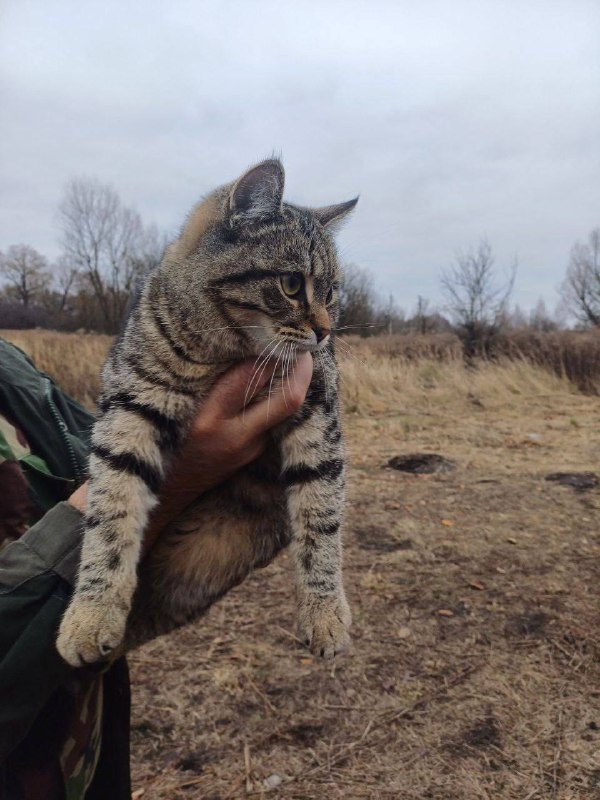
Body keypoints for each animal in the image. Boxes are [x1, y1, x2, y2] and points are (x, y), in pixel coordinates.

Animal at [55, 159, 356, 664]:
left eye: (332, 292)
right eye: (292, 284)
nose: (325, 333)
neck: (226, 352)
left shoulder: (317, 413)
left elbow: (321, 519)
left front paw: (324, 613)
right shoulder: (131, 406)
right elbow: (110, 509)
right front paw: (90, 614)